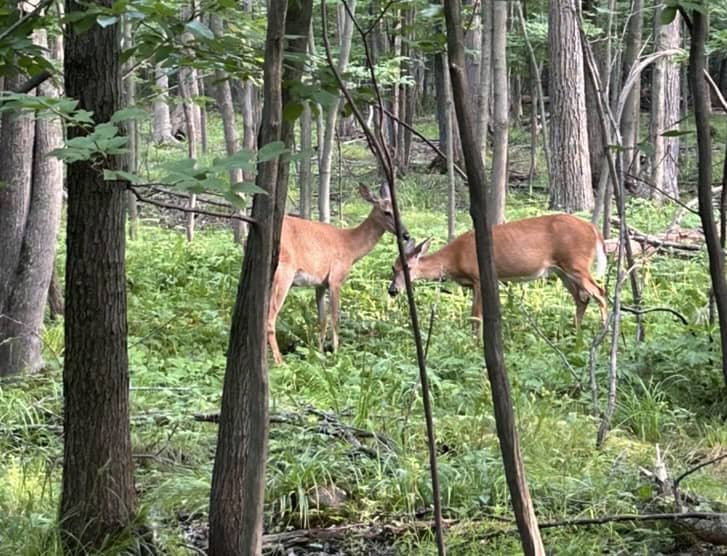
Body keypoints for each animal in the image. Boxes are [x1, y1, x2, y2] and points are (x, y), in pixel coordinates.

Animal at [270, 184, 412, 364]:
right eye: (386, 212)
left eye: (398, 210)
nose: (406, 234)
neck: (350, 246)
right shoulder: (335, 279)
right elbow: (335, 318)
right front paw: (337, 353)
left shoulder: (320, 283)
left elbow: (322, 319)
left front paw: (319, 354)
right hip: (284, 273)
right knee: (270, 317)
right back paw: (279, 361)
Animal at [390, 215, 612, 332]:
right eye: (393, 268)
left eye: (407, 268)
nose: (392, 290)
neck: (455, 258)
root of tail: (593, 229)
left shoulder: (479, 277)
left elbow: (476, 316)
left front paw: (474, 345)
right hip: (561, 270)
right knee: (582, 298)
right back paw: (575, 333)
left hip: (576, 263)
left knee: (599, 292)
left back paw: (604, 331)